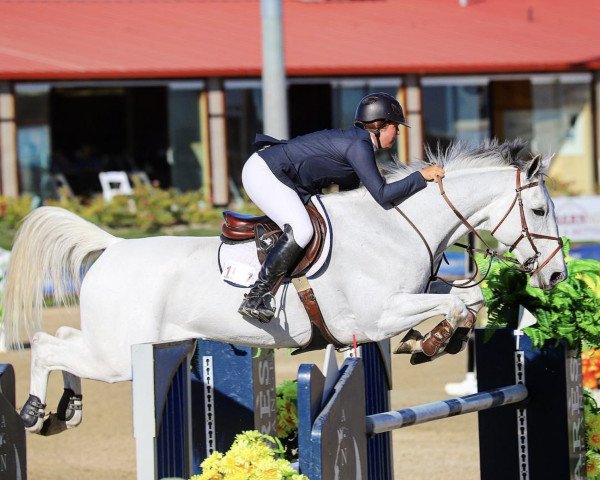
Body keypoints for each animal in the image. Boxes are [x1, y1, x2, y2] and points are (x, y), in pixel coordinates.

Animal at [2, 140, 564, 436]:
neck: (395, 226)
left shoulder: (401, 303)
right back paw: (32, 412)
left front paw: (433, 341)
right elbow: (457, 300)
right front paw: (429, 342)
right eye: (539, 210)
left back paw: (67, 410)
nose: (556, 275)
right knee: (51, 346)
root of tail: (114, 245)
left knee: (65, 344)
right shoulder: (376, 316)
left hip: (123, 344)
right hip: (121, 354)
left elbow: (466, 297)